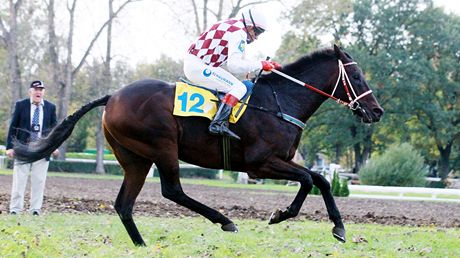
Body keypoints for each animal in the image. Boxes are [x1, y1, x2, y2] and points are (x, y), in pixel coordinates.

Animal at [12, 44, 382, 246]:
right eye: (357, 77)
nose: (376, 111)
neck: (281, 101)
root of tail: (113, 96)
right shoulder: (260, 163)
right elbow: (309, 179)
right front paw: (281, 215)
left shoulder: (279, 161)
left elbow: (320, 180)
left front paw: (338, 227)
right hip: (162, 147)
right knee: (172, 191)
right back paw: (224, 220)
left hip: (135, 159)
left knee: (124, 204)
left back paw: (142, 244)